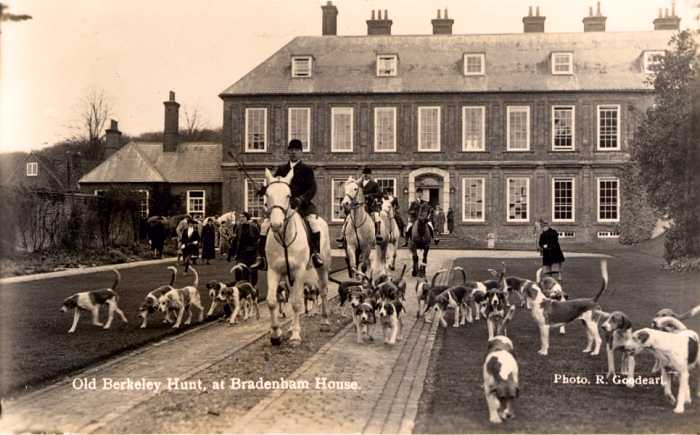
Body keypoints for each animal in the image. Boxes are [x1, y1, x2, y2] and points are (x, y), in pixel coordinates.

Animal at [264, 168, 332, 348]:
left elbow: (296, 303)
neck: (284, 239)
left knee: (323, 292)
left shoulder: (300, 271)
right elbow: (272, 301)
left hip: (322, 268)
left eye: (288, 195)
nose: (276, 225)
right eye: (267, 194)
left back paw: (325, 322)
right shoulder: (274, 271)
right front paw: (276, 334)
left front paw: (295, 336)